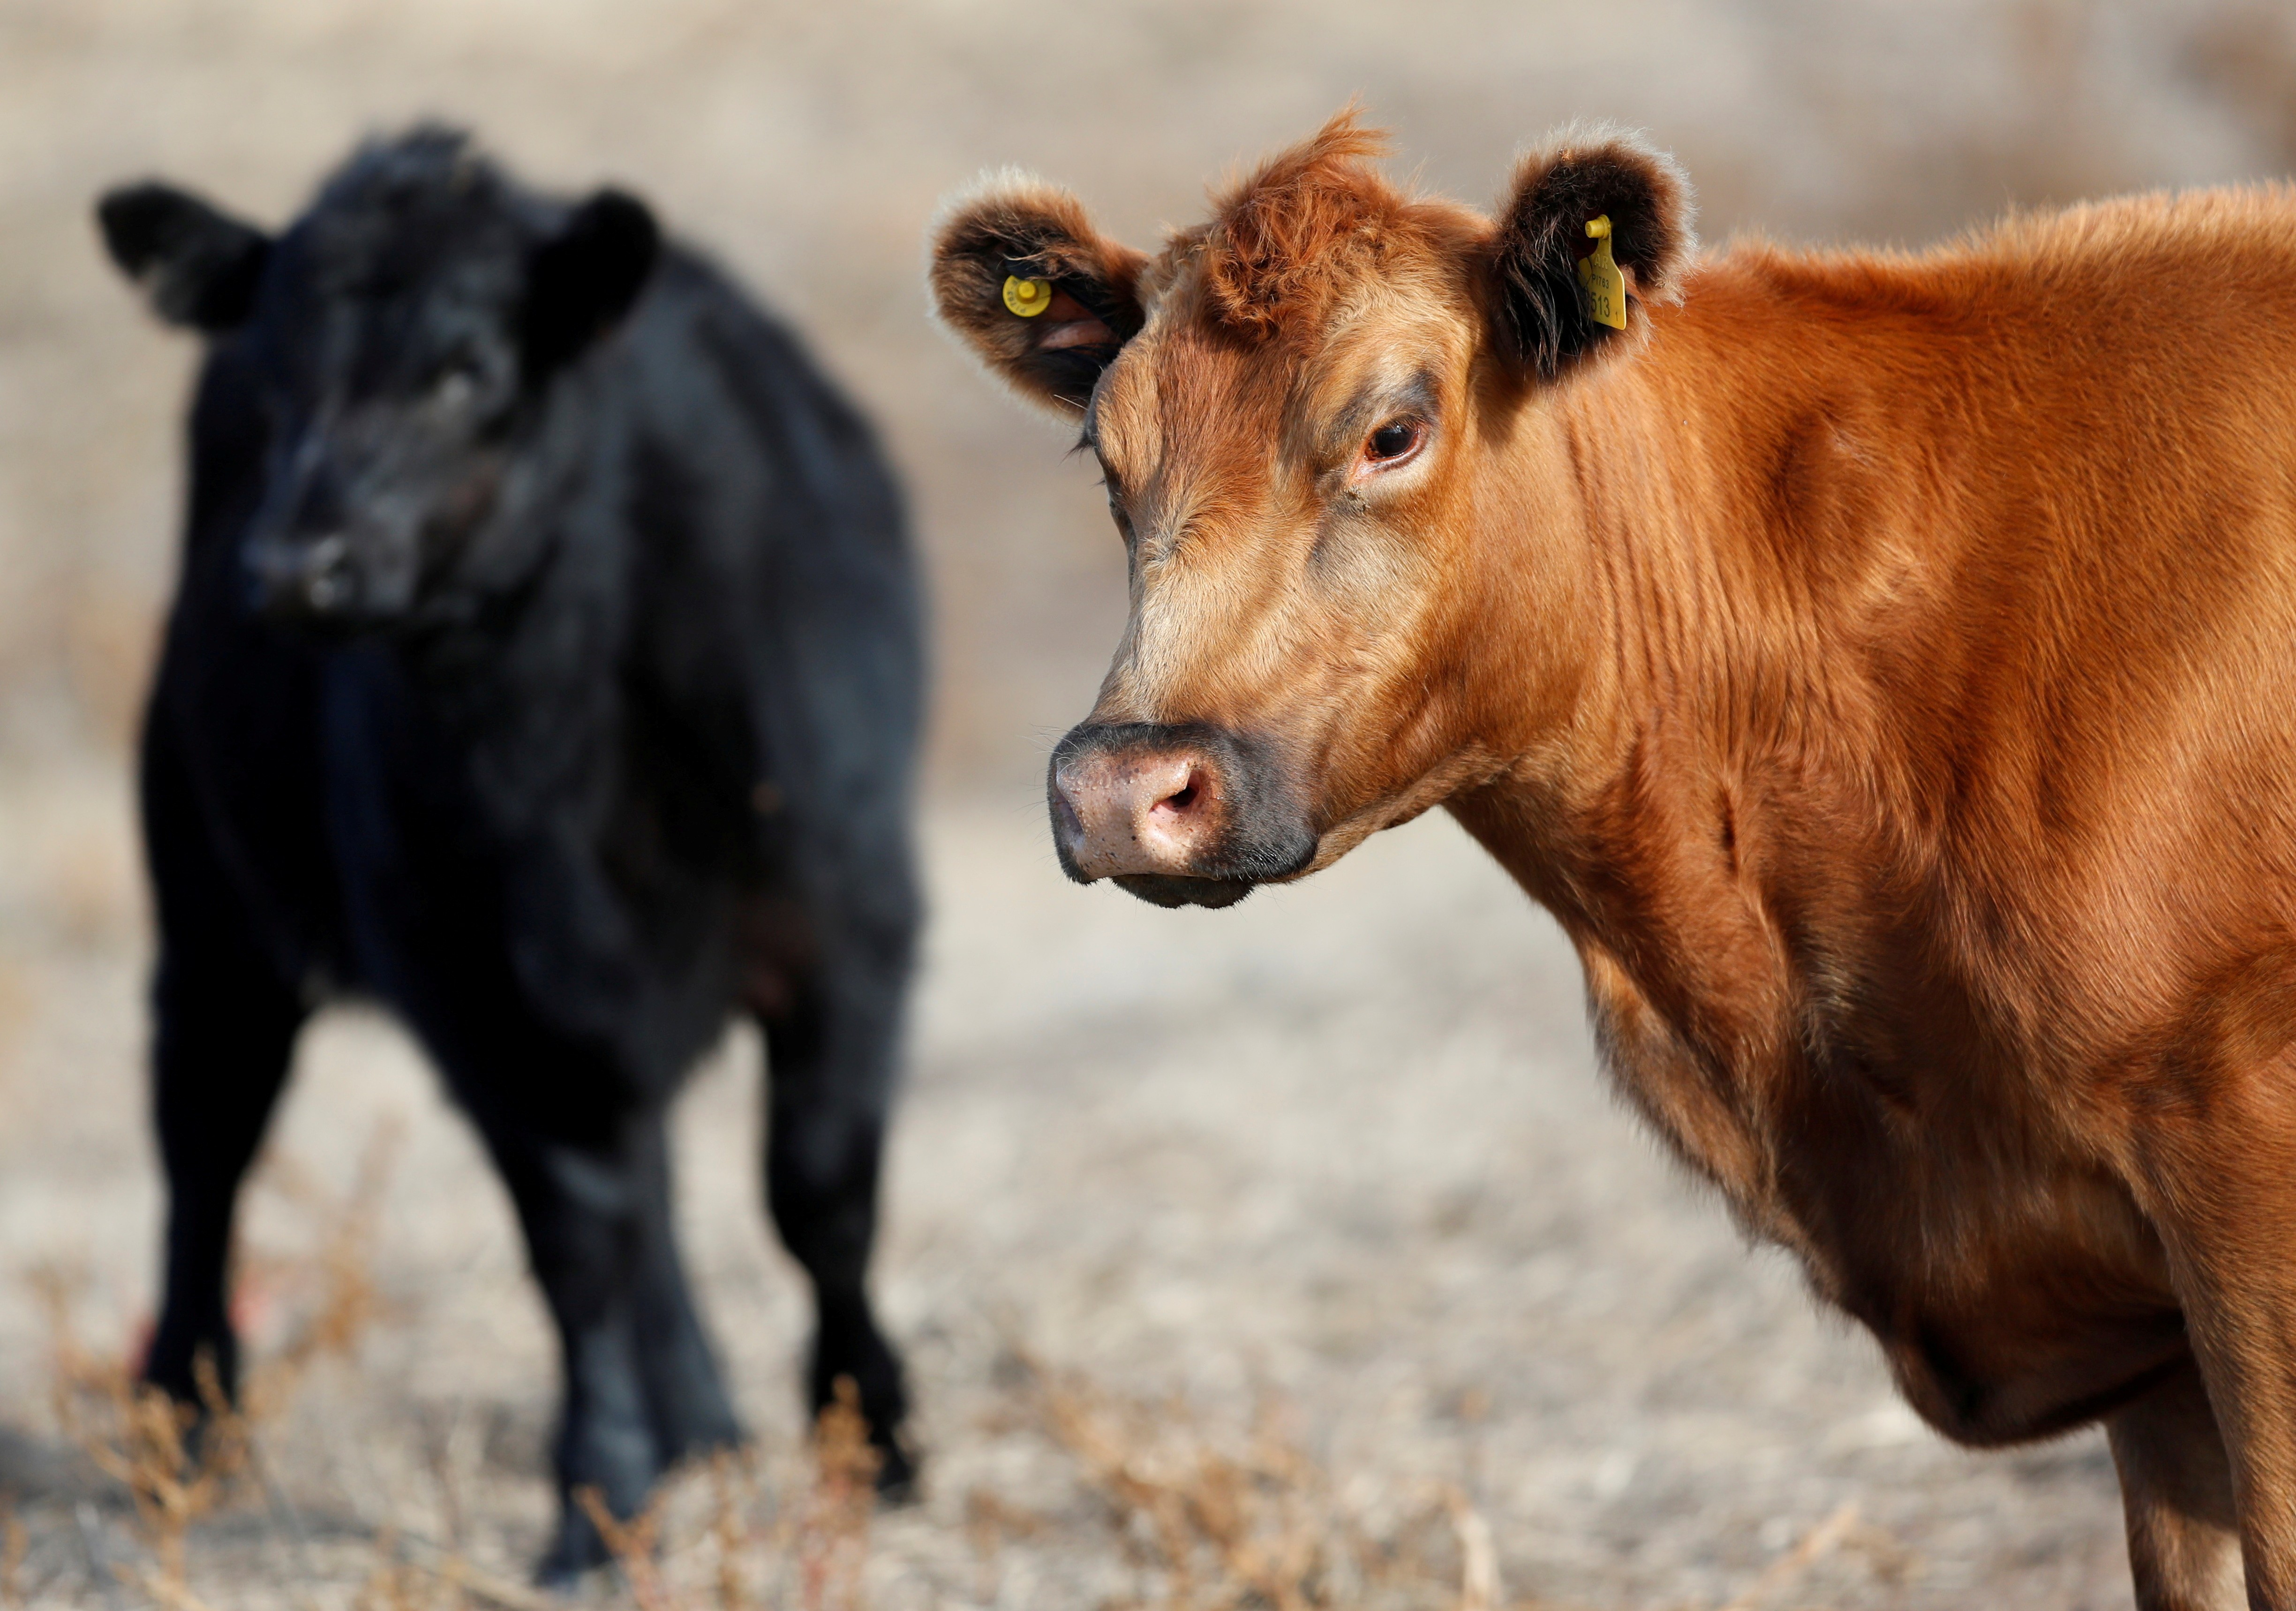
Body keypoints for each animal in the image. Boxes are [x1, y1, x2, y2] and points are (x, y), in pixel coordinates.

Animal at [96, 129, 923, 1581]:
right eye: (274, 378)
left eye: (469, 370)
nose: (296, 568)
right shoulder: (480, 980)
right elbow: (574, 1233)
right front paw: (601, 1499)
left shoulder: (847, 923)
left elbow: (818, 1193)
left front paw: (871, 1435)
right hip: (210, 899)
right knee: (206, 1139)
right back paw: (182, 1426)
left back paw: (709, 1421)